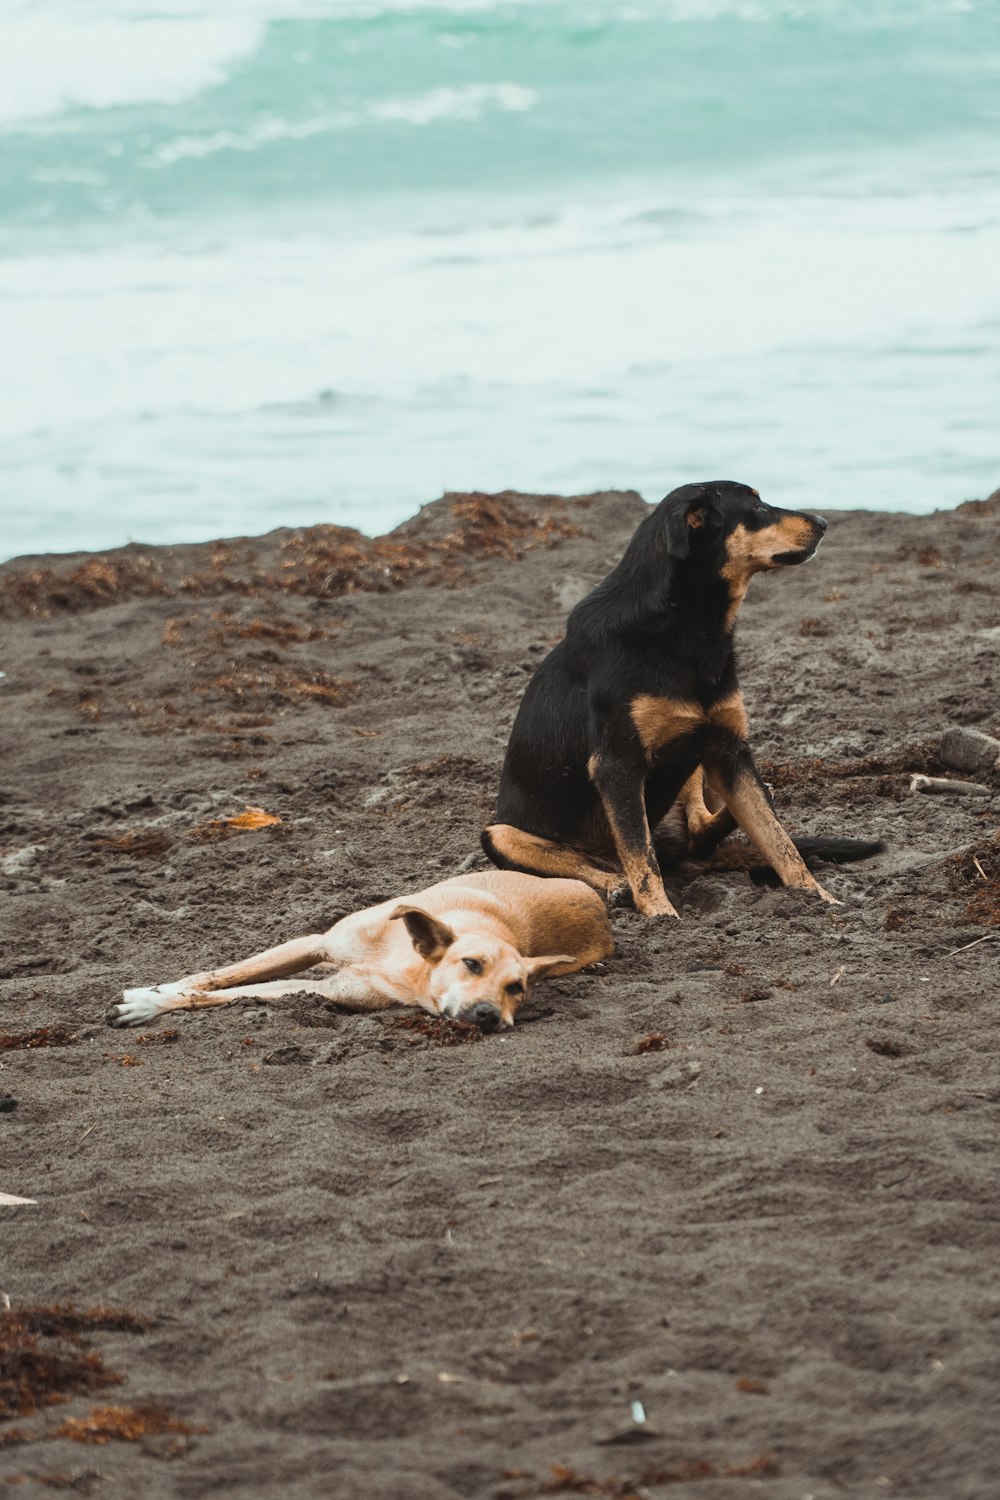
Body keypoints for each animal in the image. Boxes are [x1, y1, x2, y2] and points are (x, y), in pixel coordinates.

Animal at [107, 870, 611, 1032]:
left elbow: (224, 994)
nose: (491, 1016)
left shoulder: (329, 989)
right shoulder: (314, 944)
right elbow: (220, 976)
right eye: (471, 963)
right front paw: (158, 990)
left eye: (517, 989)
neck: (403, 962)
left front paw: (152, 1003)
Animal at [485, 486, 881, 918]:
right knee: (591, 863)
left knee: (698, 831)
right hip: (499, 833)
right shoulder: (617, 765)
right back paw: (616, 882)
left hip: (692, 757)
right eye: (757, 507)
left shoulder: (729, 750)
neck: (688, 625)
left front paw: (820, 898)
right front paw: (661, 915)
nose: (825, 522)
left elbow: (780, 841)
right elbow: (641, 859)